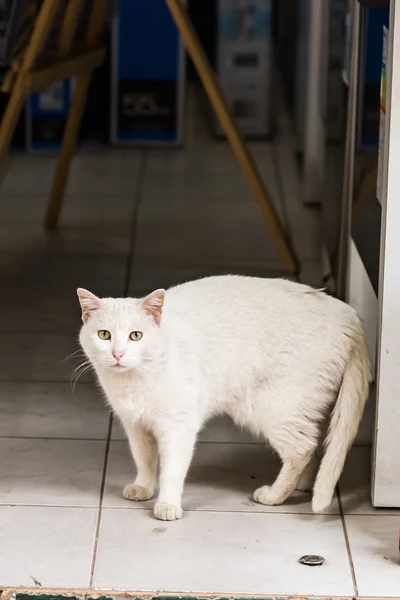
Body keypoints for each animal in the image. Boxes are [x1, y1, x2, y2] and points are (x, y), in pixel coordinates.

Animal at [76, 274, 370, 516]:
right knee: (315, 443)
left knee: (302, 449)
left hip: (276, 410)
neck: (133, 380)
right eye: (104, 335)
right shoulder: (136, 425)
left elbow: (171, 471)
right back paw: (305, 485)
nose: (117, 354)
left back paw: (274, 495)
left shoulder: (178, 426)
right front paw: (143, 488)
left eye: (135, 336)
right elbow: (145, 461)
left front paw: (167, 505)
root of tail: (348, 314)